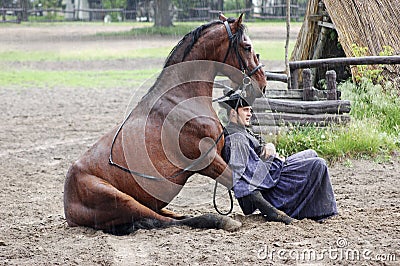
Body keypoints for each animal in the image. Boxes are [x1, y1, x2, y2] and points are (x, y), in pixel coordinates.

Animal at [64, 13, 268, 234]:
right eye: (247, 46)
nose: (262, 84)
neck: (182, 99)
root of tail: (69, 209)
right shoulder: (207, 159)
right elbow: (247, 187)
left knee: (169, 216)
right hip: (121, 199)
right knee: (162, 220)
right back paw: (219, 220)